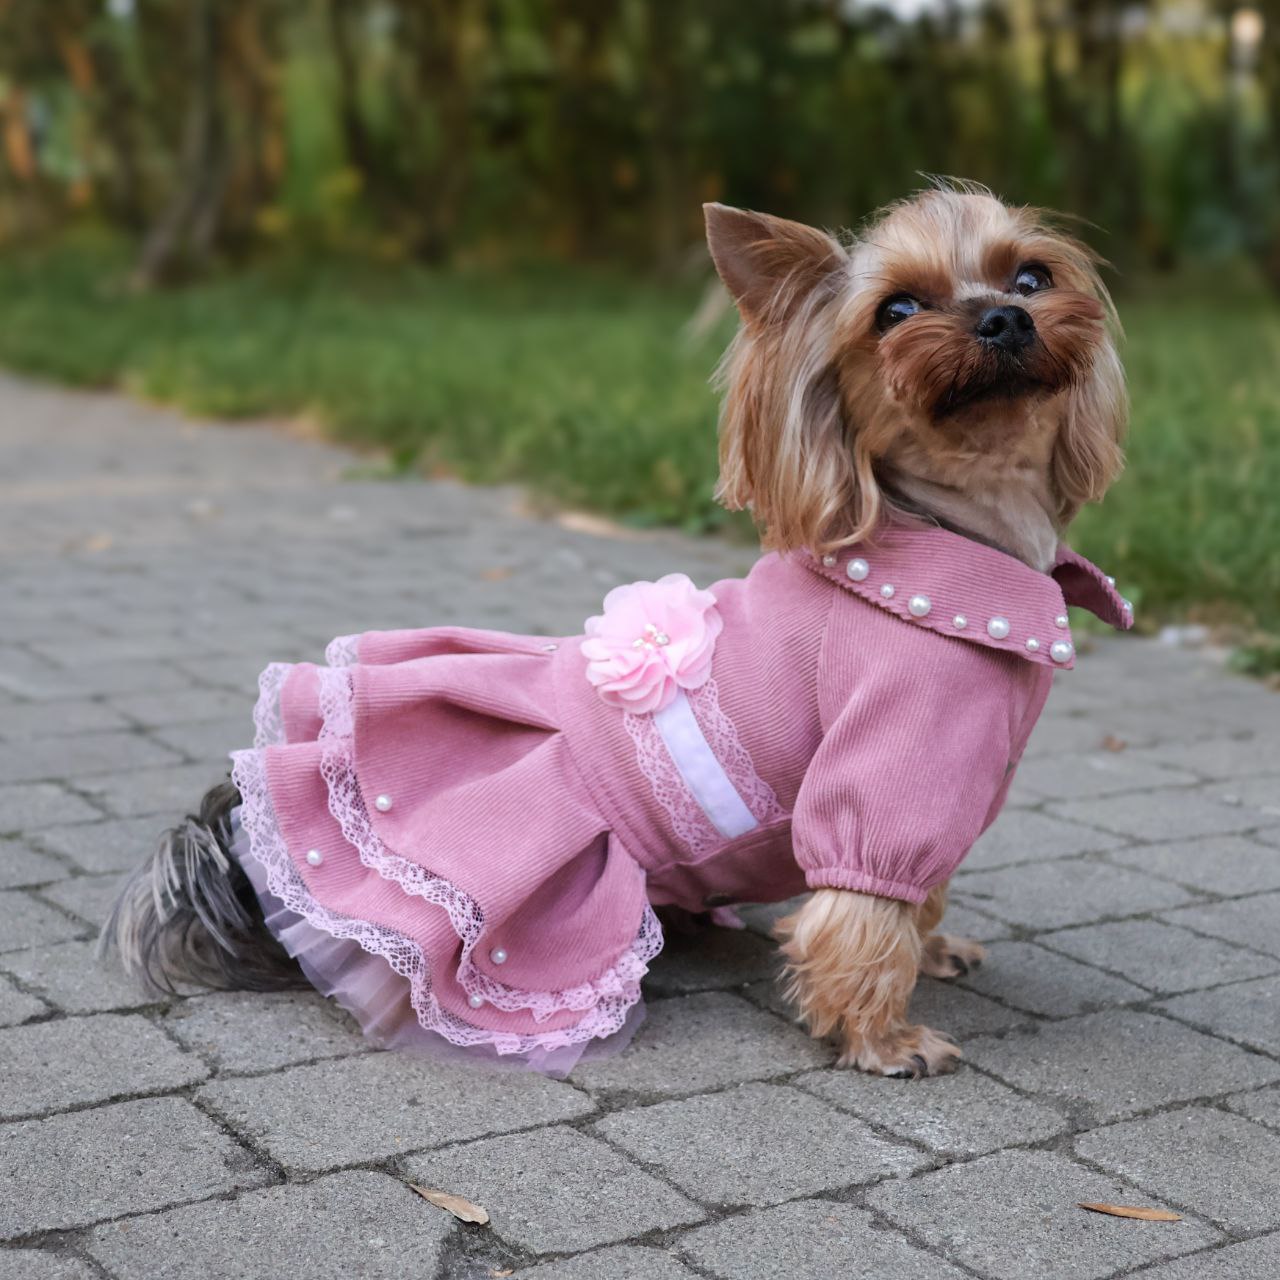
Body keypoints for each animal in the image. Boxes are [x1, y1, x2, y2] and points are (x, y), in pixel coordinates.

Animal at [102, 185, 1131, 1075]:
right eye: (897, 309)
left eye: (1031, 275)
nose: (1003, 320)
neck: (954, 533)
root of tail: (238, 834)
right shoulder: (888, 776)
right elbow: (862, 915)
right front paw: (882, 1038)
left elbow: (917, 896)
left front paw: (935, 944)